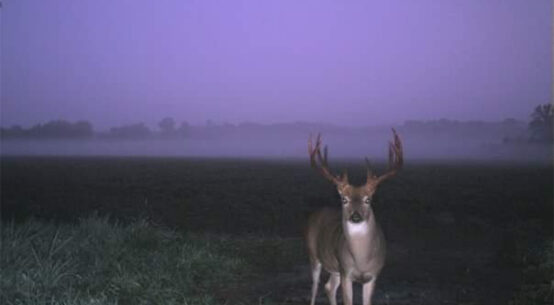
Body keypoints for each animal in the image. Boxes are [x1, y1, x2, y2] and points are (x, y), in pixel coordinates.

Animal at [306, 128, 402, 304]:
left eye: (368, 199)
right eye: (344, 199)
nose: (355, 216)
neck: (361, 261)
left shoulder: (373, 276)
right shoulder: (346, 271)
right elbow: (347, 301)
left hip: (335, 269)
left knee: (329, 287)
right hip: (313, 255)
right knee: (315, 287)